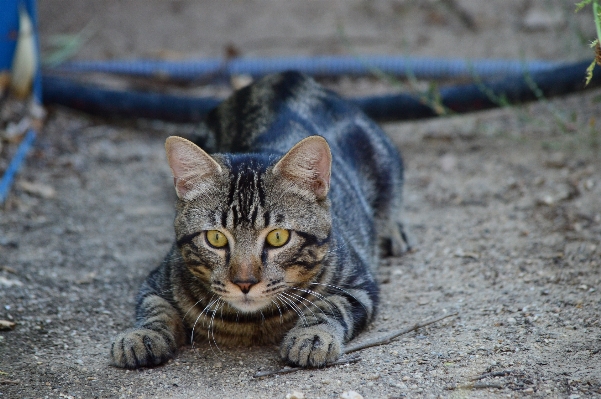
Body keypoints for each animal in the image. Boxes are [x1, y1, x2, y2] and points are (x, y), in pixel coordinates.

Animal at [109, 71, 408, 368]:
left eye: (278, 237)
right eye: (215, 238)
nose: (244, 283)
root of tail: (284, 76)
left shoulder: (359, 285)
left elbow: (330, 306)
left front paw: (311, 336)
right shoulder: (156, 282)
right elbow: (156, 309)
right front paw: (140, 336)